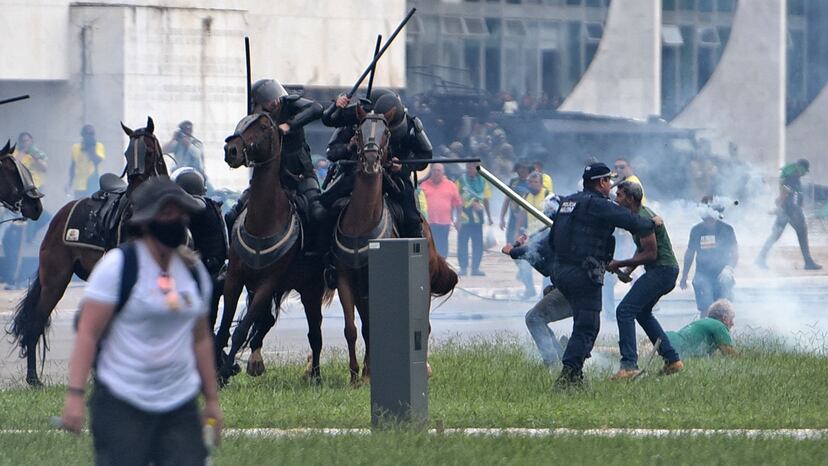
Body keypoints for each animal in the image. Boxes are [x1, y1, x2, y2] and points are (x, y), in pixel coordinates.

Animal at [7, 117, 167, 386]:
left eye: (148, 151)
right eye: (127, 153)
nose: (134, 199)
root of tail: (61, 214)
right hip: (55, 280)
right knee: (37, 321)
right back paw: (33, 378)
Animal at [217, 112, 333, 384]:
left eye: (262, 126)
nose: (231, 150)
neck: (264, 221)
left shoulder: (268, 283)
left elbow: (241, 329)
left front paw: (225, 371)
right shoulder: (236, 278)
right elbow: (226, 325)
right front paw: (219, 368)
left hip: (309, 289)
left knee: (315, 333)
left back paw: (315, 375)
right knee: (267, 322)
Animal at [332, 108, 457, 386]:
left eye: (386, 132)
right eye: (358, 131)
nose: (370, 160)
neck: (362, 223)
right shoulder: (346, 279)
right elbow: (351, 329)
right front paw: (355, 376)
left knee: (425, 325)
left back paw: (423, 367)